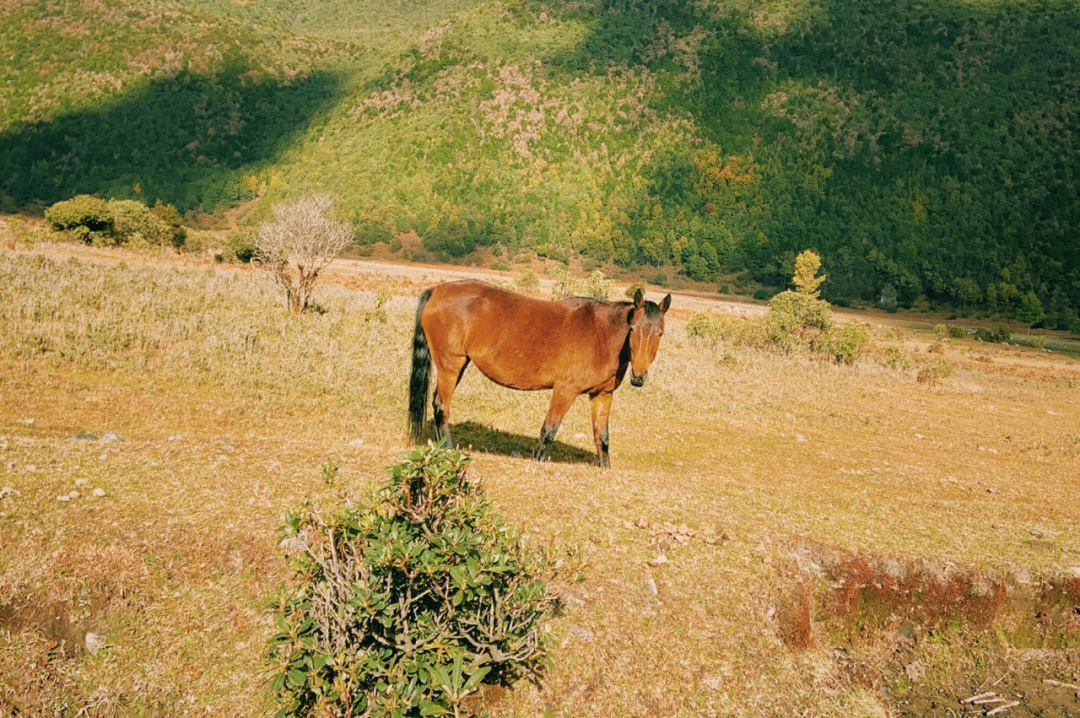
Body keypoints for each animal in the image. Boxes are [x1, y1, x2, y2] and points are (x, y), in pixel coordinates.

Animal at [408, 280, 669, 464]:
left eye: (660, 333)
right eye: (632, 329)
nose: (638, 377)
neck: (600, 334)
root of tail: (437, 291)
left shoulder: (602, 395)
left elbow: (601, 437)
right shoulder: (565, 391)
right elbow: (548, 431)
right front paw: (538, 460)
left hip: (458, 366)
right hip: (450, 365)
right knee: (442, 405)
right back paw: (447, 448)